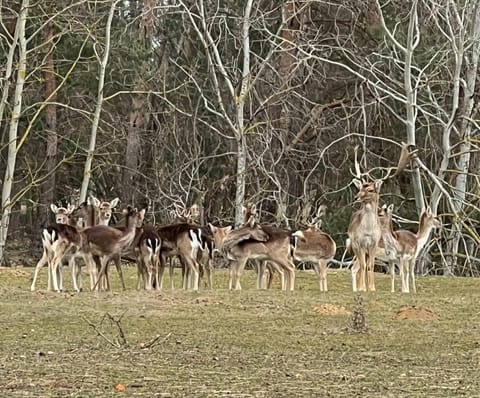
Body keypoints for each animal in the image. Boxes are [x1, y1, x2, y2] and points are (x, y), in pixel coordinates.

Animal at [346, 143, 418, 292]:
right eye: (360, 188)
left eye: (370, 190)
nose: (356, 197)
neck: (368, 231)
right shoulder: (360, 242)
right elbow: (364, 266)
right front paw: (363, 288)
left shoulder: (373, 244)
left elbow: (371, 266)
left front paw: (372, 288)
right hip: (355, 245)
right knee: (358, 267)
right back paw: (359, 287)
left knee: (363, 266)